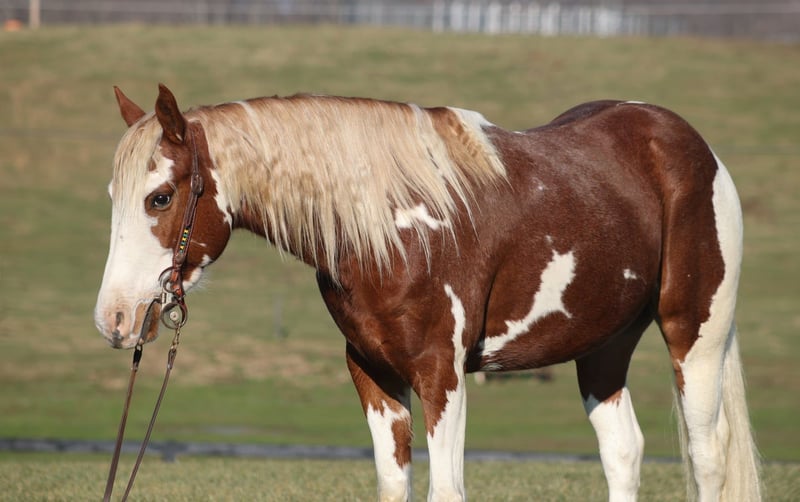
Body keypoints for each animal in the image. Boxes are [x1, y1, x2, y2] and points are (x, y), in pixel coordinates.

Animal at [94, 84, 761, 501]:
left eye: (159, 196)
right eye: (112, 196)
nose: (114, 318)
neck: (392, 227)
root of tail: (689, 144)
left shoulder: (443, 374)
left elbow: (447, 487)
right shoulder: (373, 374)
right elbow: (395, 484)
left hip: (694, 336)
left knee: (707, 455)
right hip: (602, 348)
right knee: (624, 452)